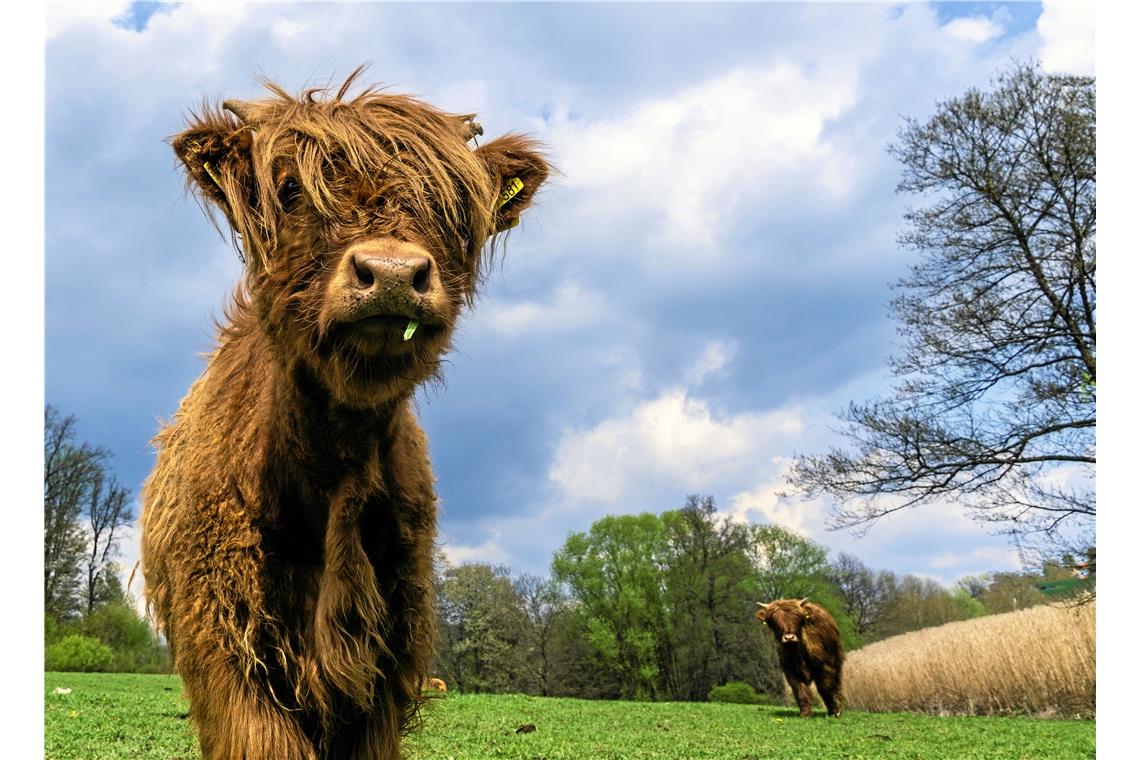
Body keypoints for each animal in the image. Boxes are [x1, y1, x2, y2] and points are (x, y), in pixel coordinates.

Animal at [137, 66, 547, 760]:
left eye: (454, 205)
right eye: (291, 190)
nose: (392, 273)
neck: (330, 474)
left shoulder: (388, 657)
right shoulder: (229, 650)